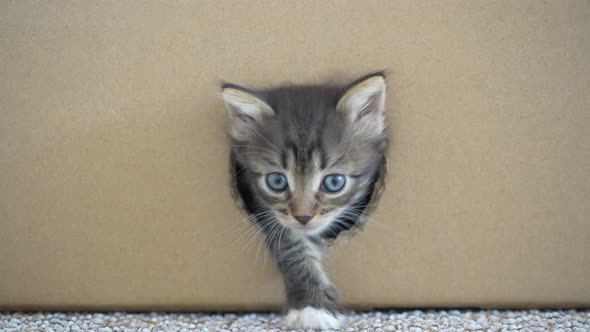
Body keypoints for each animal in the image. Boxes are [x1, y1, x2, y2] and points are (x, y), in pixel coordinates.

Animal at [221, 72, 388, 330]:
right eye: (277, 181)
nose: (303, 216)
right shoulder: (270, 216)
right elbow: (294, 252)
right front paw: (313, 307)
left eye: (334, 182)